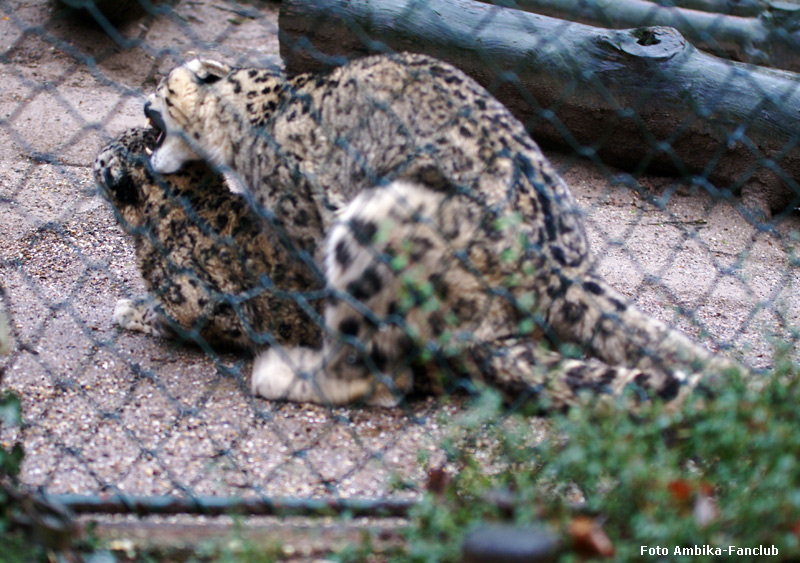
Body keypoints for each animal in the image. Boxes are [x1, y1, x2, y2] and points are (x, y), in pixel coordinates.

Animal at [130, 50, 736, 408]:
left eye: (161, 86)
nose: (140, 104)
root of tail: (553, 271)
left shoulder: (300, 213)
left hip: (379, 224)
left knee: (373, 370)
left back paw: (282, 374)